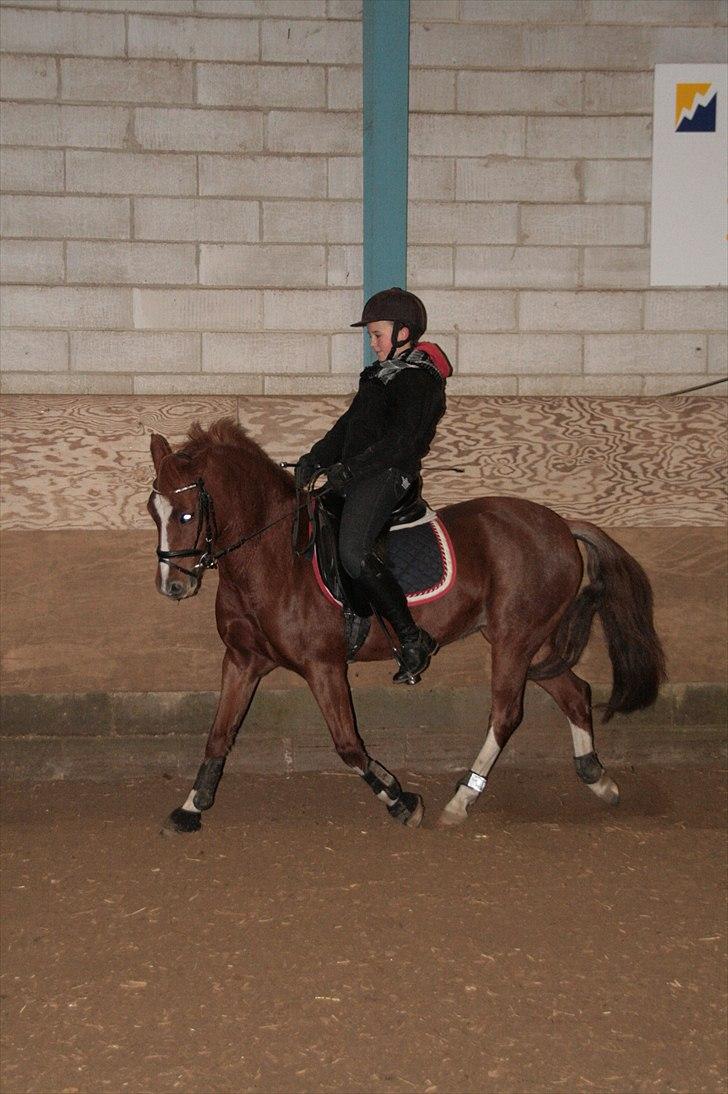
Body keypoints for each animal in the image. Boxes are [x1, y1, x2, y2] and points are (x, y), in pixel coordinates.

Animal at [147, 417, 666, 833]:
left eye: (188, 513)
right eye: (155, 512)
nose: (173, 586)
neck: (274, 559)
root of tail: (561, 524)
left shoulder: (323, 666)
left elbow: (348, 745)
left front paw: (401, 799)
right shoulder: (243, 661)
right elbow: (219, 734)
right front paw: (192, 806)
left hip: (514, 642)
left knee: (506, 714)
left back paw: (461, 801)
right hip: (529, 644)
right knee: (575, 693)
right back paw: (598, 779)